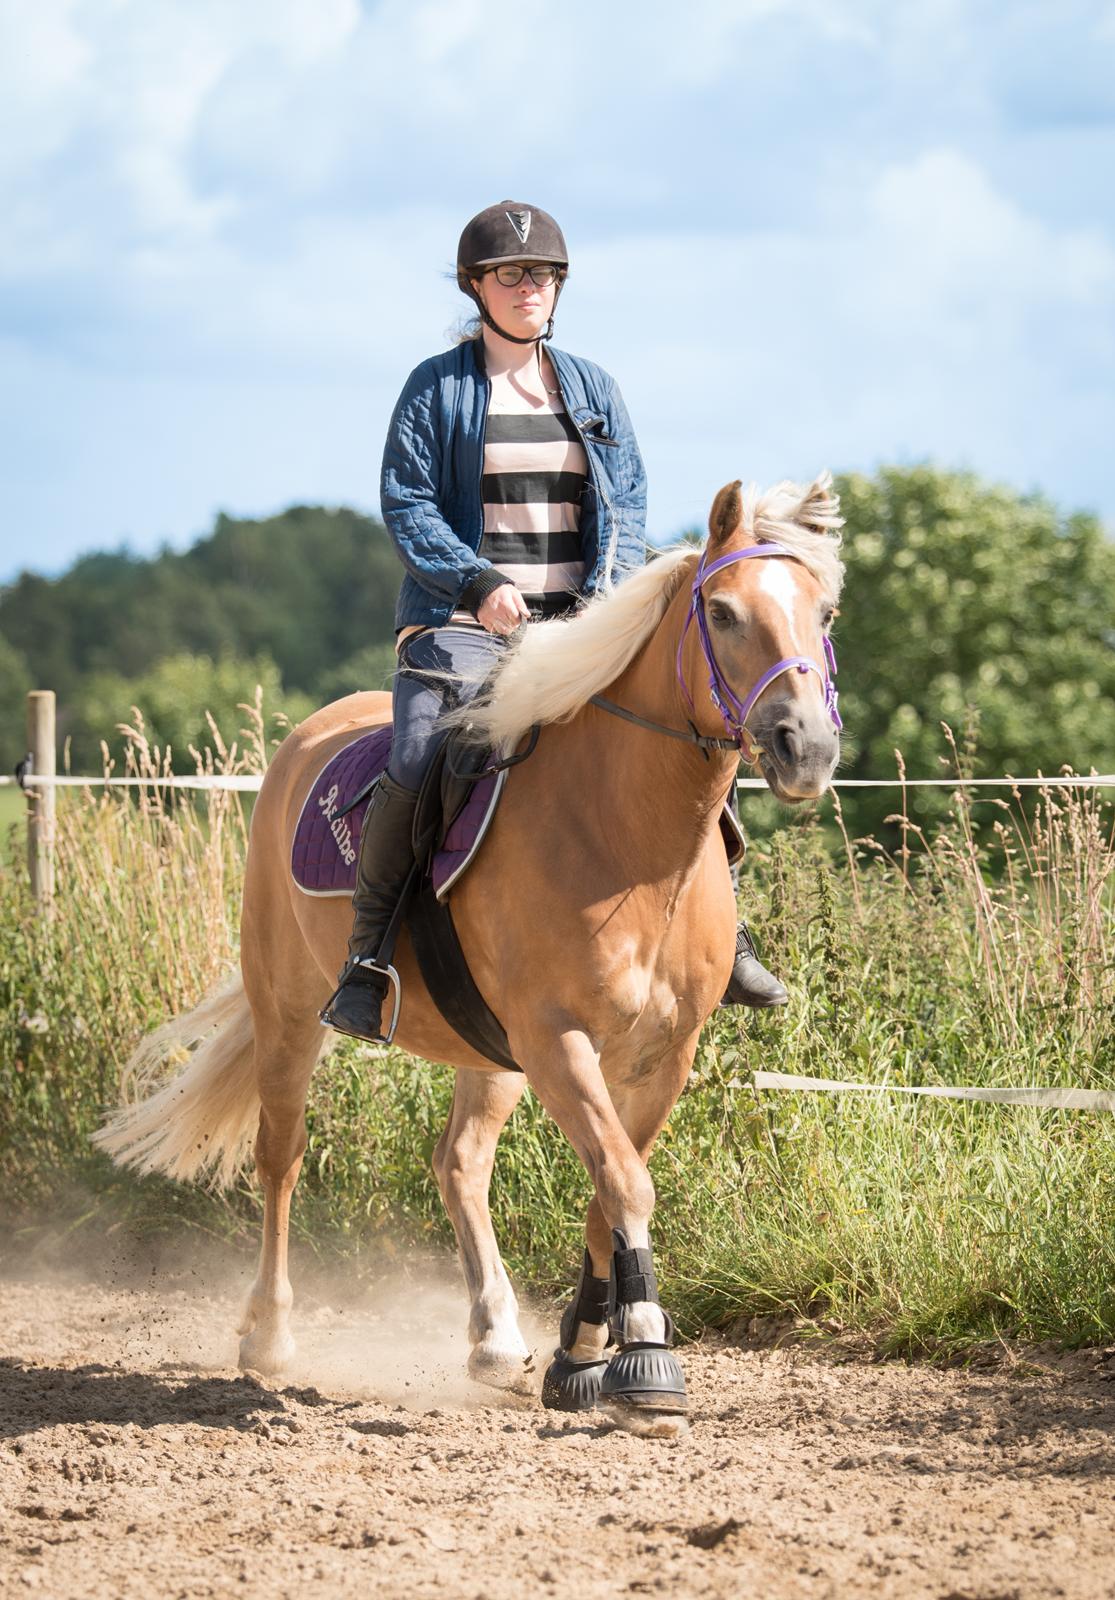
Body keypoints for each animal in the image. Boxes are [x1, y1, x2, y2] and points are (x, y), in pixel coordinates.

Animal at [95, 470, 844, 1440]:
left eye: (822, 613)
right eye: (720, 612)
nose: (806, 748)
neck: (624, 836)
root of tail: (305, 739)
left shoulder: (660, 1054)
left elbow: (606, 1190)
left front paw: (578, 1358)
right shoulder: (558, 1039)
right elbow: (625, 1183)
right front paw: (645, 1364)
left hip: (486, 1051)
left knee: (459, 1163)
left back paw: (494, 1340)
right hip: (290, 1012)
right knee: (281, 1154)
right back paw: (269, 1336)